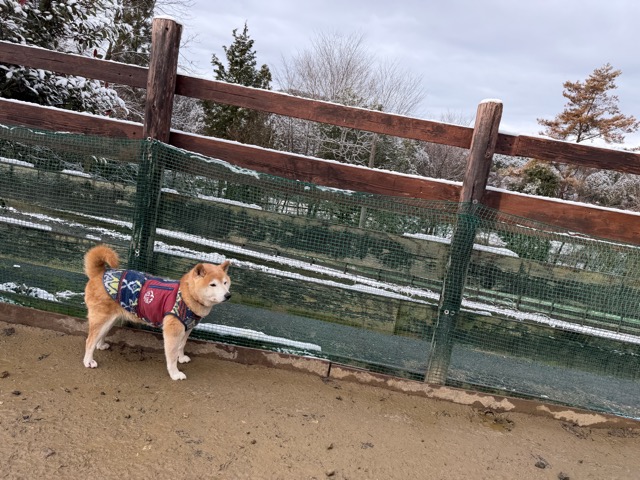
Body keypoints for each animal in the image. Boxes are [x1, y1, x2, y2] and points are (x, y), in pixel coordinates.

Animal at [82, 245, 231, 380]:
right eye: (213, 284)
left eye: (225, 283)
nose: (228, 295)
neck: (187, 295)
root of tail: (99, 273)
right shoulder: (173, 332)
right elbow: (171, 356)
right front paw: (175, 374)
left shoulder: (187, 328)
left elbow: (181, 345)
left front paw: (181, 358)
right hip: (102, 318)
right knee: (90, 340)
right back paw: (88, 361)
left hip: (110, 319)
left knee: (100, 335)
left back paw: (100, 345)